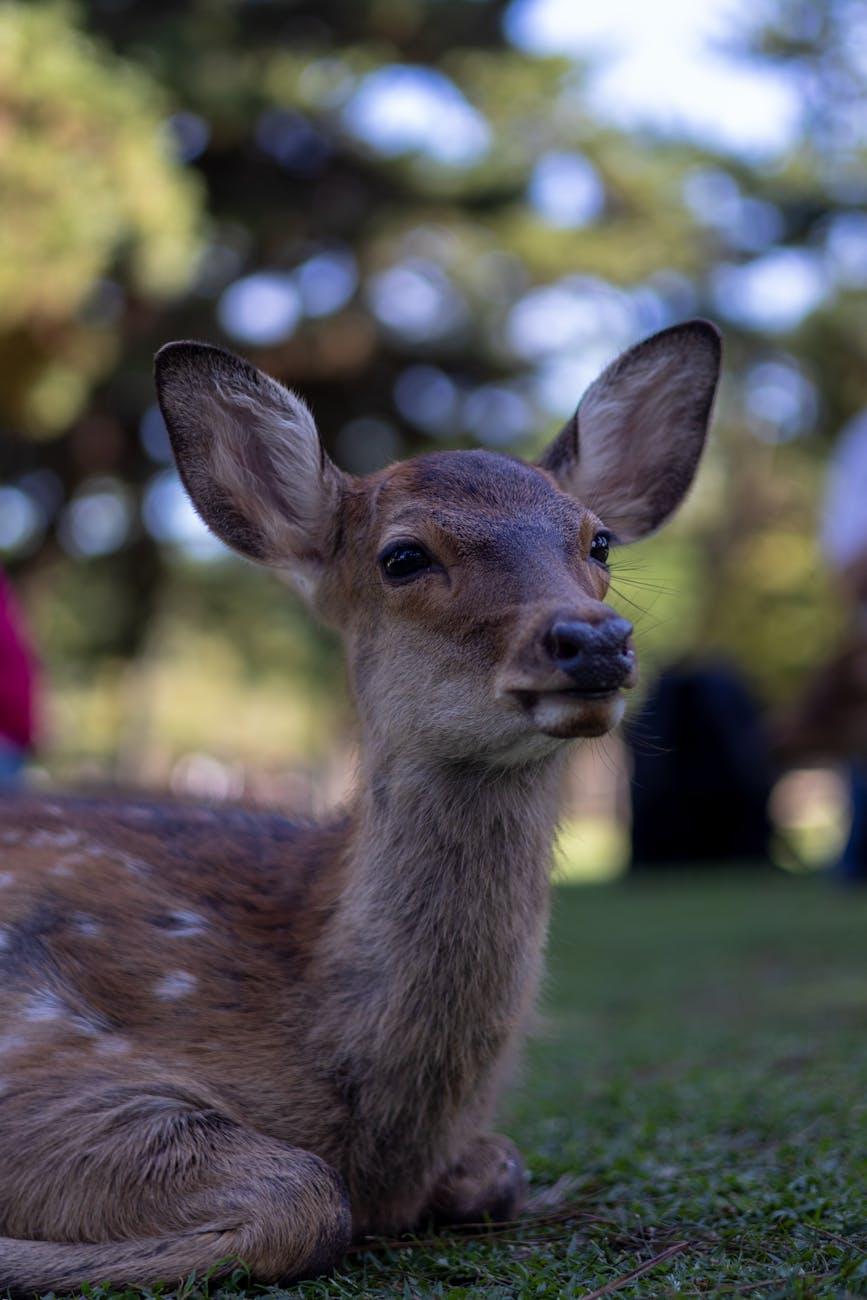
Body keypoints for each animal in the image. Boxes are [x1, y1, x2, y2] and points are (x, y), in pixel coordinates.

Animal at [0, 319, 721, 1293]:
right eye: (403, 555)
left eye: (598, 541)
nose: (593, 641)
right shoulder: (33, 1049)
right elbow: (305, 1199)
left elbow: (496, 1169)